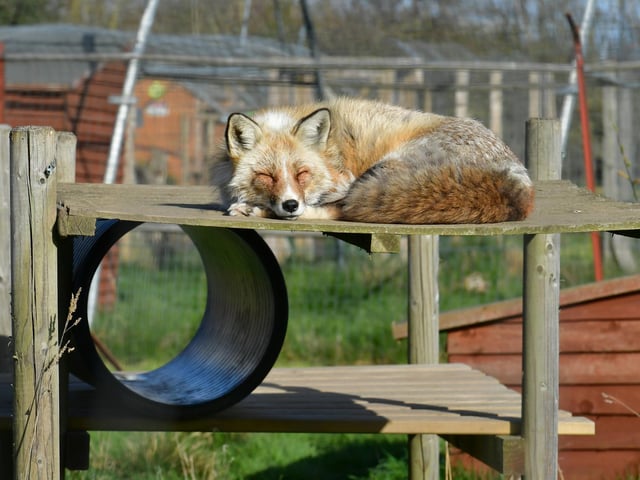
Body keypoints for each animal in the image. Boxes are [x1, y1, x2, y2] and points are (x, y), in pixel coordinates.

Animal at [215, 97, 534, 224]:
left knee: (344, 212)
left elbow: (328, 206)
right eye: (266, 176)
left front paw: (256, 208)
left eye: (302, 173)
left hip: (383, 169)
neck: (332, 151)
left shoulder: (345, 181)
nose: (290, 204)